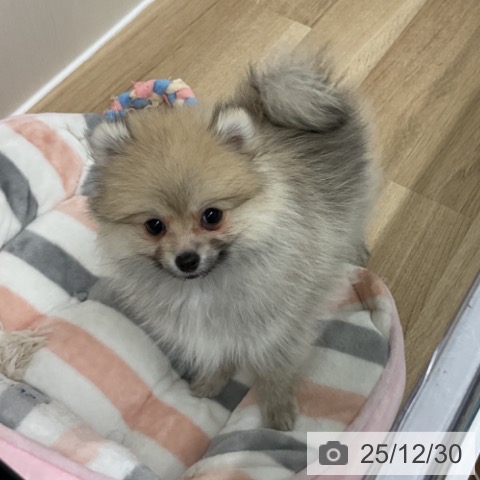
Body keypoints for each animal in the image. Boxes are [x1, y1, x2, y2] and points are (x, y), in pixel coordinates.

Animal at [87, 55, 377, 430]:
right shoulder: (214, 331)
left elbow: (275, 369)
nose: (187, 259)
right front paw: (211, 383)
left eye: (212, 216)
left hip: (358, 198)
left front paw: (278, 411)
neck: (204, 286)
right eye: (154, 226)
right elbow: (218, 356)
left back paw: (356, 249)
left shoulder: (281, 326)